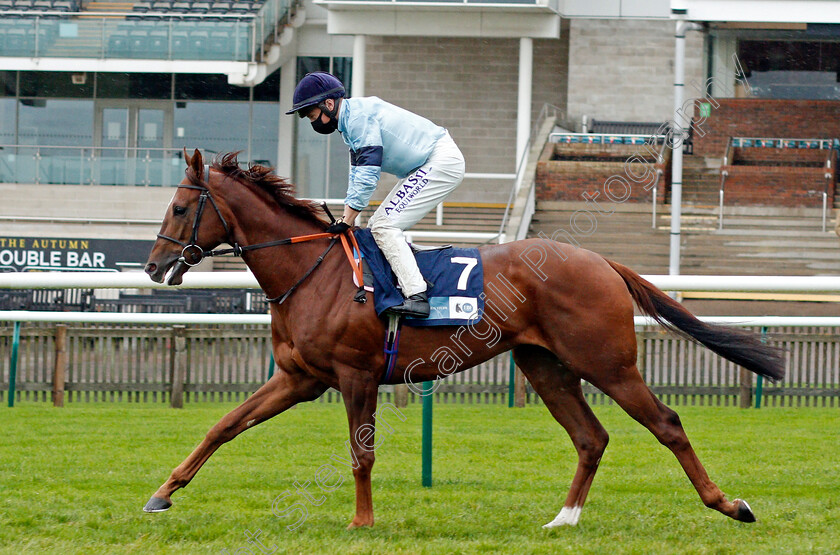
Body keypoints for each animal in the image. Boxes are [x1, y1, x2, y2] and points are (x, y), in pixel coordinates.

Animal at [143, 151, 780, 528]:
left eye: (179, 206)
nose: (152, 266)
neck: (313, 271)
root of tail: (602, 260)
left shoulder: (355, 375)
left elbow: (360, 454)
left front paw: (361, 523)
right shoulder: (299, 378)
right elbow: (224, 426)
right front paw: (163, 492)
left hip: (608, 363)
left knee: (665, 424)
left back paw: (730, 504)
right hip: (545, 365)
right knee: (591, 437)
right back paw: (564, 520)